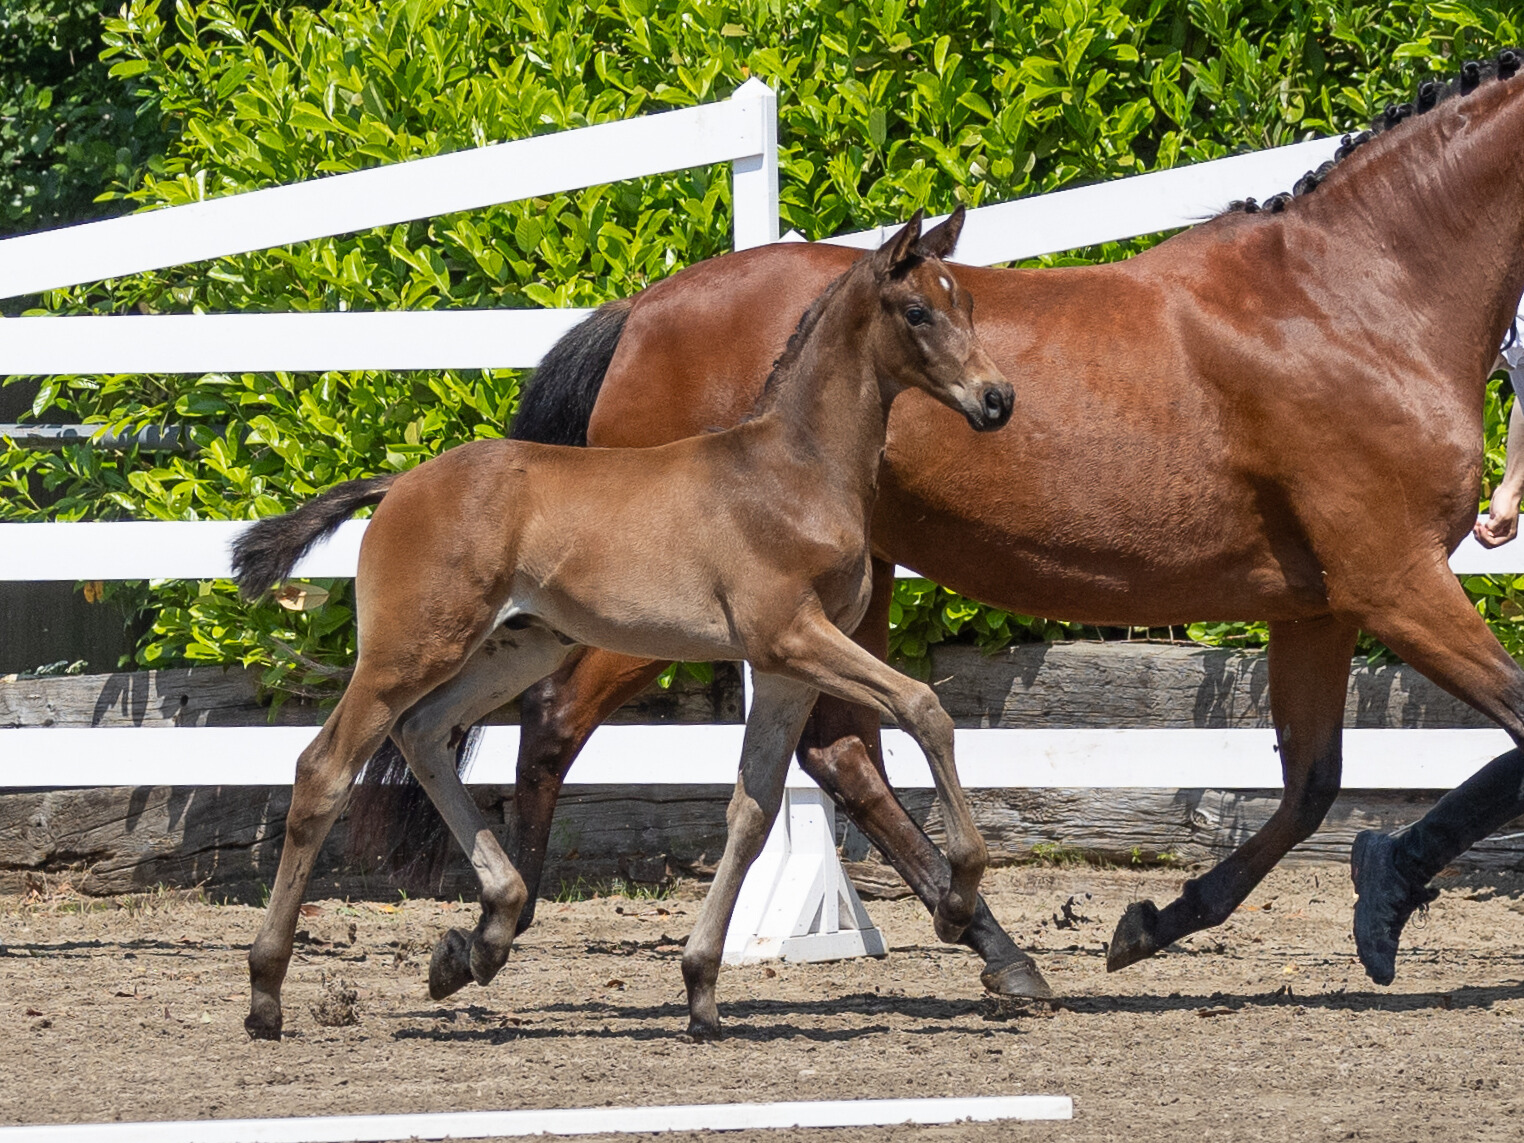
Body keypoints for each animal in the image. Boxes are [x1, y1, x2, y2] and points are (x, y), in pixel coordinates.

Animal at [228, 210, 1011, 1042]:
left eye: (967, 303)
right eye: (918, 311)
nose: (997, 399)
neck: (795, 469)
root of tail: (401, 480)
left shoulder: (783, 669)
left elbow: (753, 809)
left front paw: (701, 990)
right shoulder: (791, 636)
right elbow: (924, 707)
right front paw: (957, 901)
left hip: (519, 645)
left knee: (424, 731)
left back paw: (482, 936)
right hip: (409, 649)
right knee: (324, 769)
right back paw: (266, 992)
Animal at [472, 53, 1524, 999]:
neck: (1350, 298)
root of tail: (641, 310)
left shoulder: (1321, 605)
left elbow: (1312, 787)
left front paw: (1172, 921)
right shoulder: (1397, 583)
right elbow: (1508, 726)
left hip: (846, 590)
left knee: (843, 752)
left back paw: (995, 945)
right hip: (683, 605)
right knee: (561, 715)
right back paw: (491, 933)